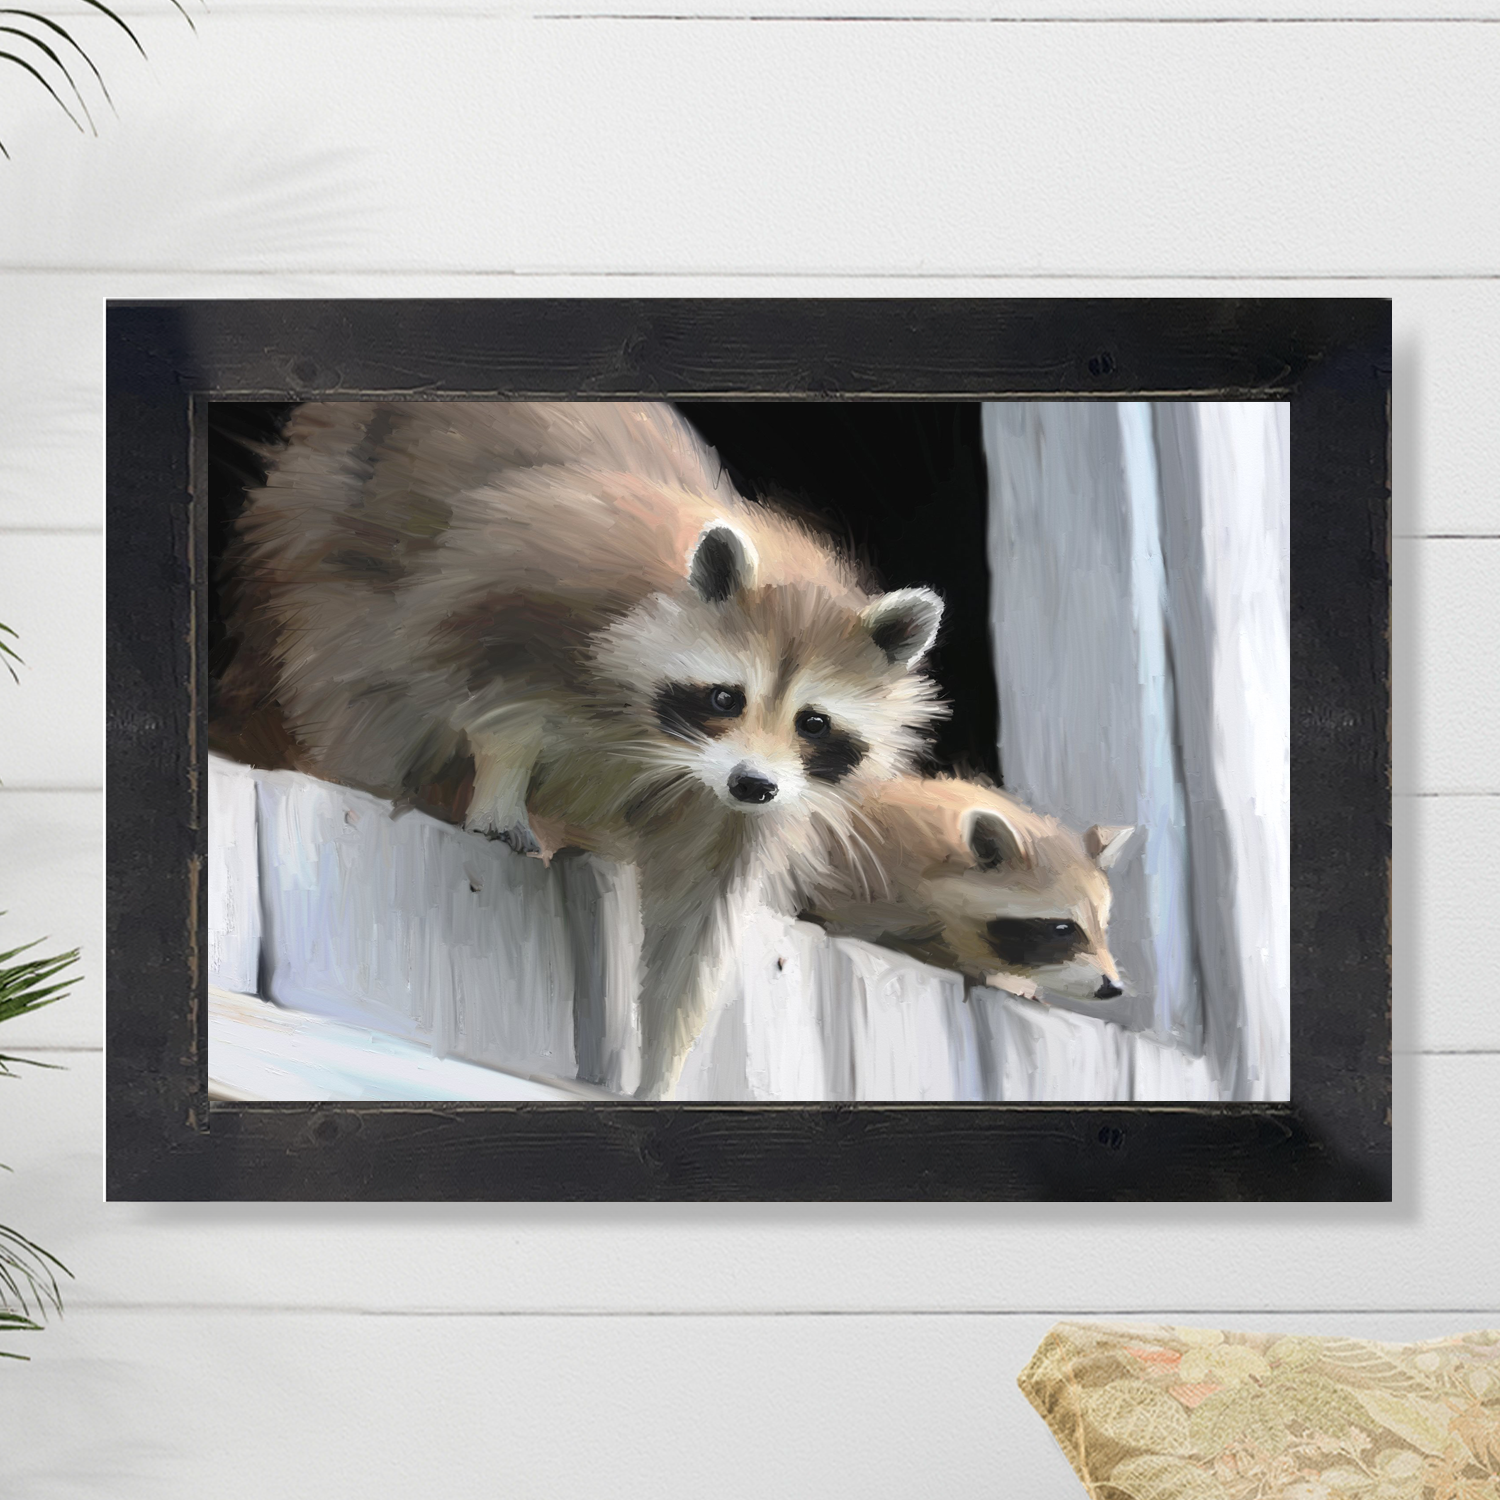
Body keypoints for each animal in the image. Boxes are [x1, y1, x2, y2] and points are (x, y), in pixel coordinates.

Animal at [215, 401, 946, 1099]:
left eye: (813, 723)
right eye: (725, 698)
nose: (752, 783)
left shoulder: (732, 806)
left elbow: (695, 919)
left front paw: (662, 1065)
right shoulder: (530, 582)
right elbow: (495, 693)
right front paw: (502, 781)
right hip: (319, 561)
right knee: (361, 699)